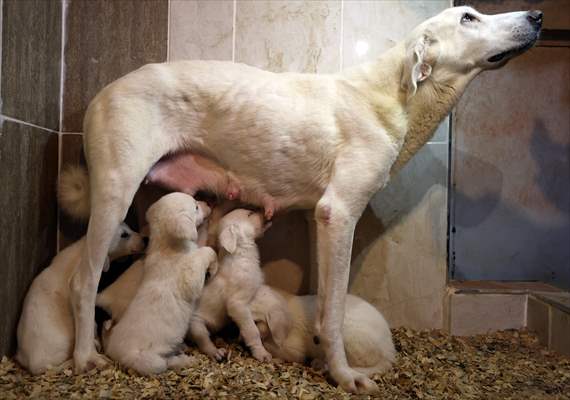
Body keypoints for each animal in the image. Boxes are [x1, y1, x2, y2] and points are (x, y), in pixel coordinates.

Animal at [187, 209, 272, 362]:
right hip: (196, 325)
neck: (241, 254)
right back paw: (216, 352)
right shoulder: (237, 304)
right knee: (203, 341)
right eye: (250, 213)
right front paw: (261, 353)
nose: (267, 213)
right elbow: (252, 330)